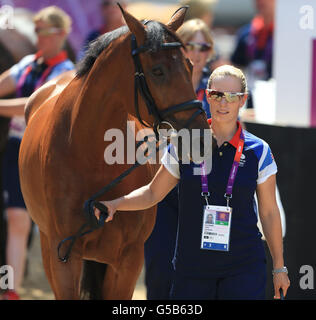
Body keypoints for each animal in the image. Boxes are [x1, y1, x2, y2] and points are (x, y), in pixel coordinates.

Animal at [18, 5, 209, 300]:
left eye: (189, 65)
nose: (200, 138)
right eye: (157, 71)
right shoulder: (63, 256)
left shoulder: (128, 260)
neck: (90, 156)